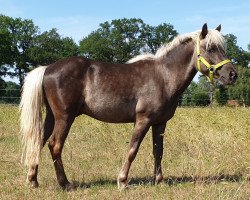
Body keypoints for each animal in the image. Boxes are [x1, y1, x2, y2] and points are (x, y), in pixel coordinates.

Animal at [19, 23, 236, 191]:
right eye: (210, 48)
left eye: (222, 48)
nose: (232, 75)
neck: (164, 76)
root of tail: (48, 68)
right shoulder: (142, 120)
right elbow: (133, 150)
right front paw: (122, 181)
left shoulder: (160, 124)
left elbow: (158, 151)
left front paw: (160, 181)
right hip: (64, 118)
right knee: (55, 146)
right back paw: (65, 184)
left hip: (51, 117)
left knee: (38, 142)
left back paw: (33, 181)